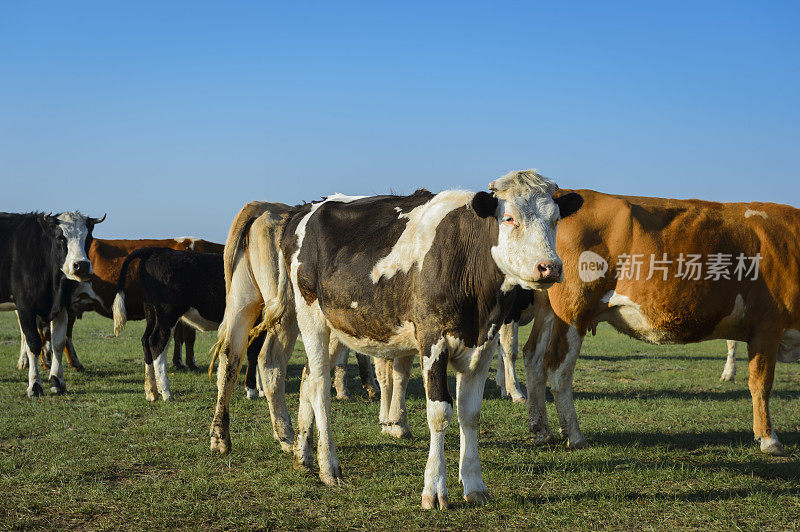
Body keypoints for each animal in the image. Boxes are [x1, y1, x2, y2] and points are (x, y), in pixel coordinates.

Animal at [0, 211, 104, 394]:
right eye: (60, 238)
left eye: (89, 238)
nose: (82, 266)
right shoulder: (25, 307)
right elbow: (33, 343)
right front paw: (35, 385)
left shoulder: (62, 307)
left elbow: (58, 343)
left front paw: (56, 381)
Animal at [520, 189, 796, 456]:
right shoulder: (767, 325)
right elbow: (761, 383)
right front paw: (769, 439)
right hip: (573, 312)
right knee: (558, 368)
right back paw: (575, 436)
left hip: (548, 309)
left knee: (533, 357)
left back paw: (541, 430)